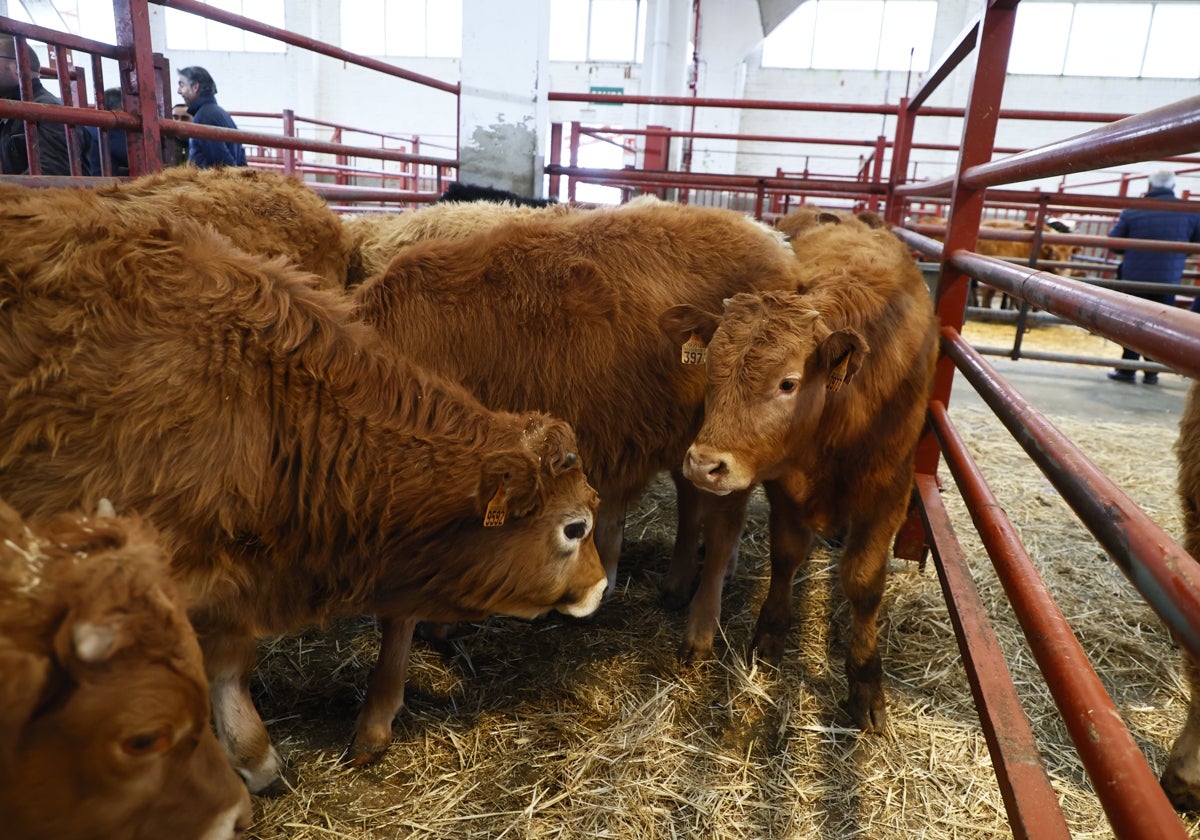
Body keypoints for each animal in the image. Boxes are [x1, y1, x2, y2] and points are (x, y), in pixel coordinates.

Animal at [662, 208, 940, 729]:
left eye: (788, 383)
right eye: (708, 367)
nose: (704, 465)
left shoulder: (888, 493)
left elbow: (863, 583)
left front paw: (866, 682)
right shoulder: (784, 486)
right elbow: (787, 554)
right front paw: (770, 633)